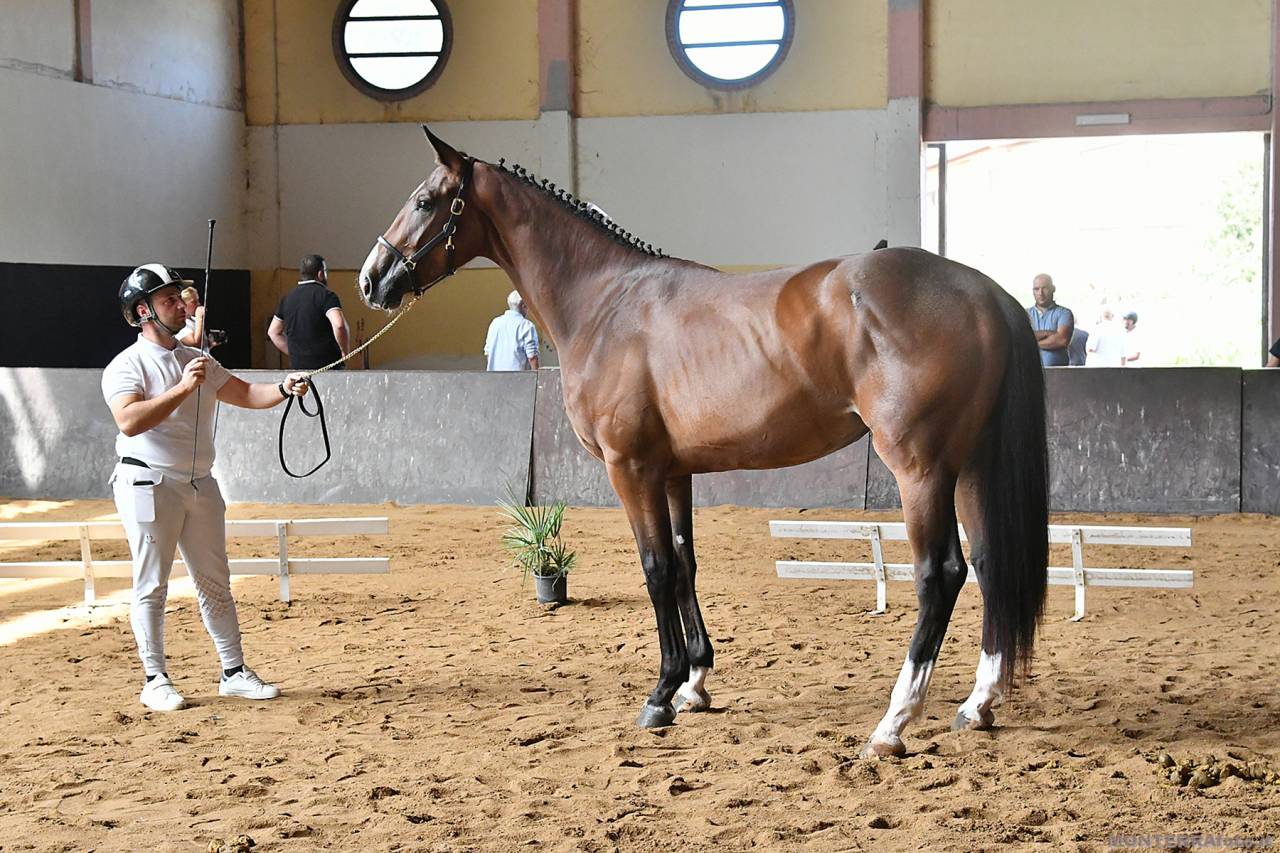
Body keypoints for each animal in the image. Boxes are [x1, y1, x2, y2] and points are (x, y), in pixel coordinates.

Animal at [358, 127, 1049, 758]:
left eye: (425, 201)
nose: (370, 280)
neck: (605, 302)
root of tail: (986, 293)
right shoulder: (671, 472)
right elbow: (685, 563)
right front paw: (694, 683)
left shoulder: (630, 468)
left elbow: (656, 568)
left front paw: (661, 695)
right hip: (971, 467)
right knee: (989, 563)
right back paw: (978, 703)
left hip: (920, 467)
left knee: (942, 573)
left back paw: (892, 724)